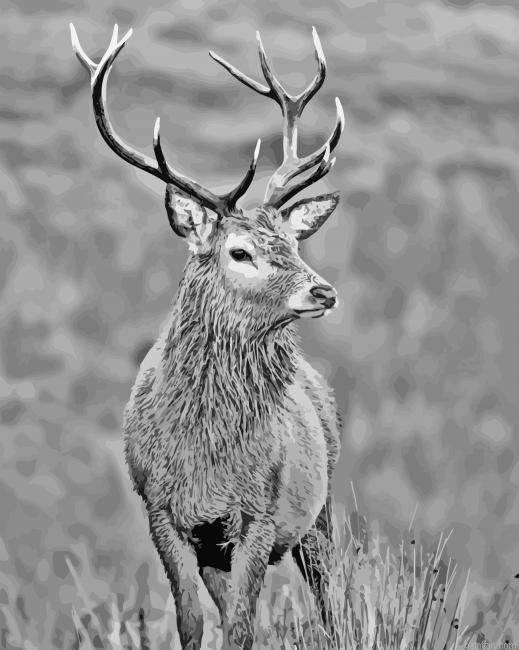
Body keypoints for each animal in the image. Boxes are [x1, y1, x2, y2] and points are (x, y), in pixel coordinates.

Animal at [70, 22, 344, 650]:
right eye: (239, 252)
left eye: (294, 244)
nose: (323, 291)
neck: (206, 457)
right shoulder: (164, 514)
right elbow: (194, 624)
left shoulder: (259, 514)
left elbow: (241, 628)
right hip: (220, 549)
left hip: (322, 506)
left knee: (331, 598)